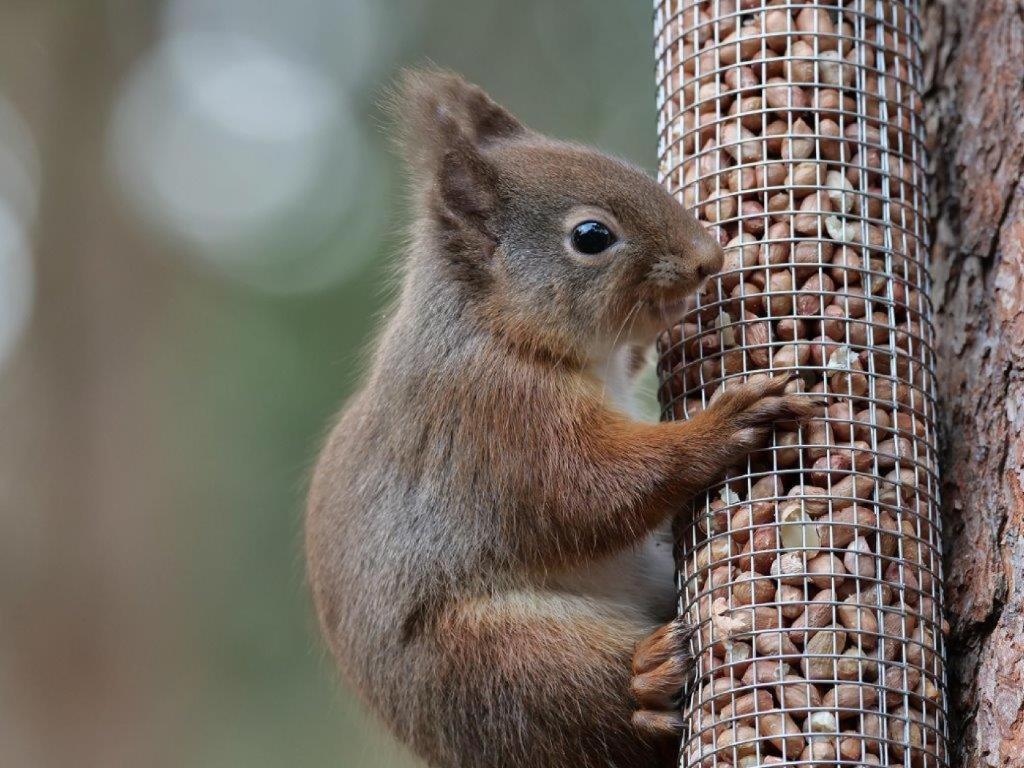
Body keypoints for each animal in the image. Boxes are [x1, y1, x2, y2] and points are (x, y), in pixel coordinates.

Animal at [305, 70, 818, 768]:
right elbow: (584, 489)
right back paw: (650, 680)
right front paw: (723, 425)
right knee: (588, 712)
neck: (500, 329)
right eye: (591, 237)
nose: (709, 260)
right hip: (501, 660)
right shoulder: (495, 414)